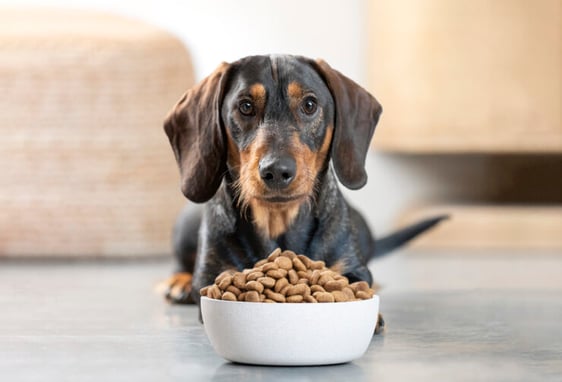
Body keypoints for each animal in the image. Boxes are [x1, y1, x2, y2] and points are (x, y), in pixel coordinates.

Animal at [162, 54, 446, 332]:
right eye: (245, 106)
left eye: (309, 105)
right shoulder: (212, 275)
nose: (276, 170)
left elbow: (357, 283)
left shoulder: (352, 267)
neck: (279, 224)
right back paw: (178, 283)